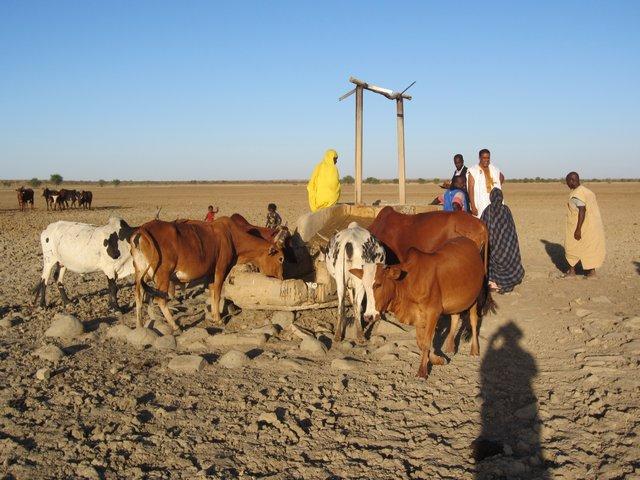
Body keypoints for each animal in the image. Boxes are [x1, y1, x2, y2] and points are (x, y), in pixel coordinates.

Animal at [129, 217, 284, 330]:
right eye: (281, 258)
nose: (282, 278)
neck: (232, 237)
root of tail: (143, 229)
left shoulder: (210, 273)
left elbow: (212, 293)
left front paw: (214, 315)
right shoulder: (221, 269)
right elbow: (217, 294)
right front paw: (219, 319)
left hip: (140, 272)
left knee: (138, 295)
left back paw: (139, 325)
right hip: (163, 275)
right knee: (160, 299)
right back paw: (175, 326)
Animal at [352, 236, 488, 378]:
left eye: (378, 284)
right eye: (364, 285)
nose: (368, 316)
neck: (408, 282)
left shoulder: (433, 312)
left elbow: (427, 342)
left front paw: (422, 371)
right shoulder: (417, 315)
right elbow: (421, 343)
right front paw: (439, 359)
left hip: (474, 298)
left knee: (473, 321)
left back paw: (474, 350)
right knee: (455, 317)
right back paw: (450, 347)